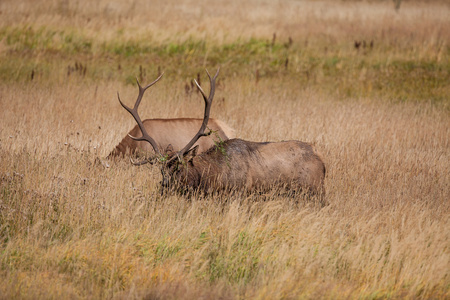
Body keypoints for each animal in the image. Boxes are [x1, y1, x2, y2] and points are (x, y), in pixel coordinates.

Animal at [118, 69, 326, 198]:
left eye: (179, 167)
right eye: (161, 170)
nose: (163, 187)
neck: (212, 176)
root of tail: (322, 162)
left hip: (314, 192)